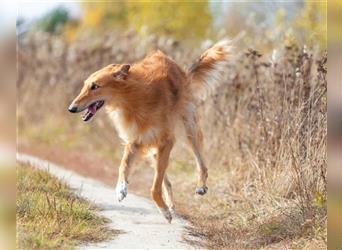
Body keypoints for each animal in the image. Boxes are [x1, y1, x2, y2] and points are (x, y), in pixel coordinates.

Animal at [67, 40, 232, 223]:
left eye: (95, 86)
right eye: (85, 85)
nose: (71, 108)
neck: (133, 98)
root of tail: (181, 71)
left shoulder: (166, 141)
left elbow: (154, 187)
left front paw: (164, 211)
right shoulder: (135, 142)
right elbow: (123, 166)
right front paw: (121, 188)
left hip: (189, 131)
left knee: (201, 164)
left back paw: (200, 187)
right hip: (152, 150)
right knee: (167, 180)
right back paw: (170, 205)